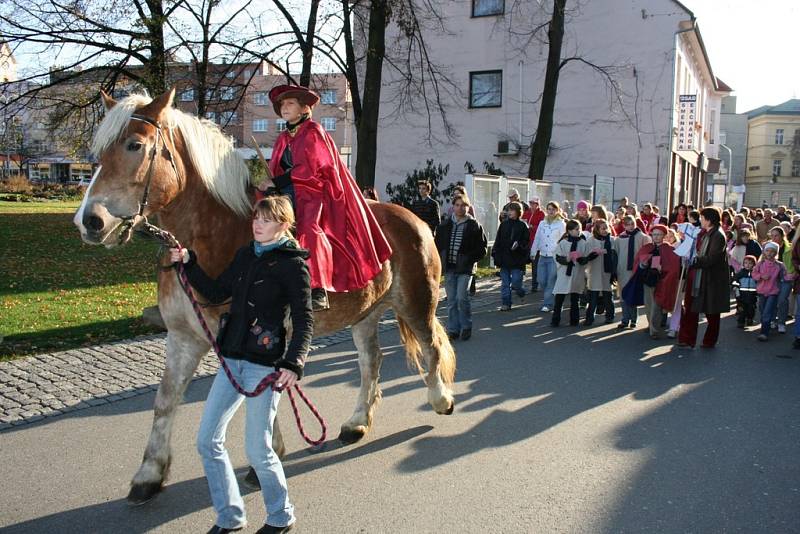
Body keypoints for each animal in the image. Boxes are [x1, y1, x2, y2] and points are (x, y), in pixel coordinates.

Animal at [76, 89, 456, 506]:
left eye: (135, 145)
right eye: (100, 152)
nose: (89, 221)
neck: (218, 236)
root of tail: (415, 219)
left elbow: (261, 395)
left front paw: (267, 456)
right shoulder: (183, 338)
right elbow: (165, 400)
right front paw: (150, 473)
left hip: (416, 303)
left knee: (432, 348)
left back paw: (441, 399)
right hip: (365, 314)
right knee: (371, 362)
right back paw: (357, 422)